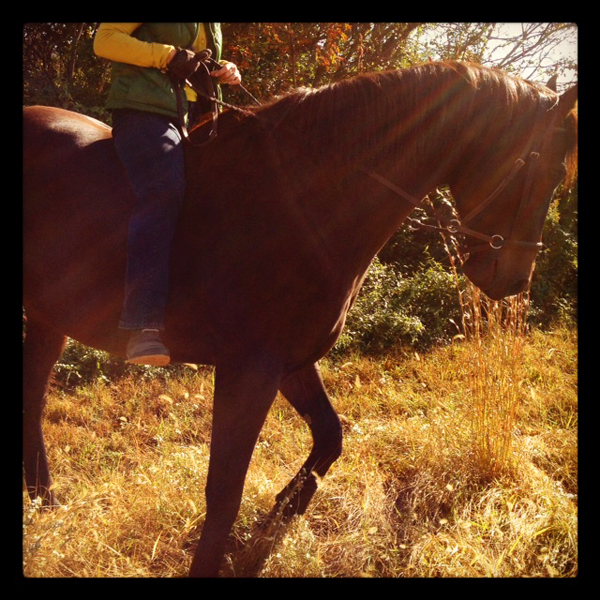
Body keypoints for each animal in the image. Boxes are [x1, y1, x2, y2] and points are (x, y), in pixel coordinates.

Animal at [22, 61, 576, 576]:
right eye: (547, 170)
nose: (514, 281)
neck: (303, 202)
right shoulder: (249, 369)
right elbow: (224, 490)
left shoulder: (291, 363)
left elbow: (329, 438)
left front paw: (274, 523)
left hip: (49, 318)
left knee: (32, 395)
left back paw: (46, 501)